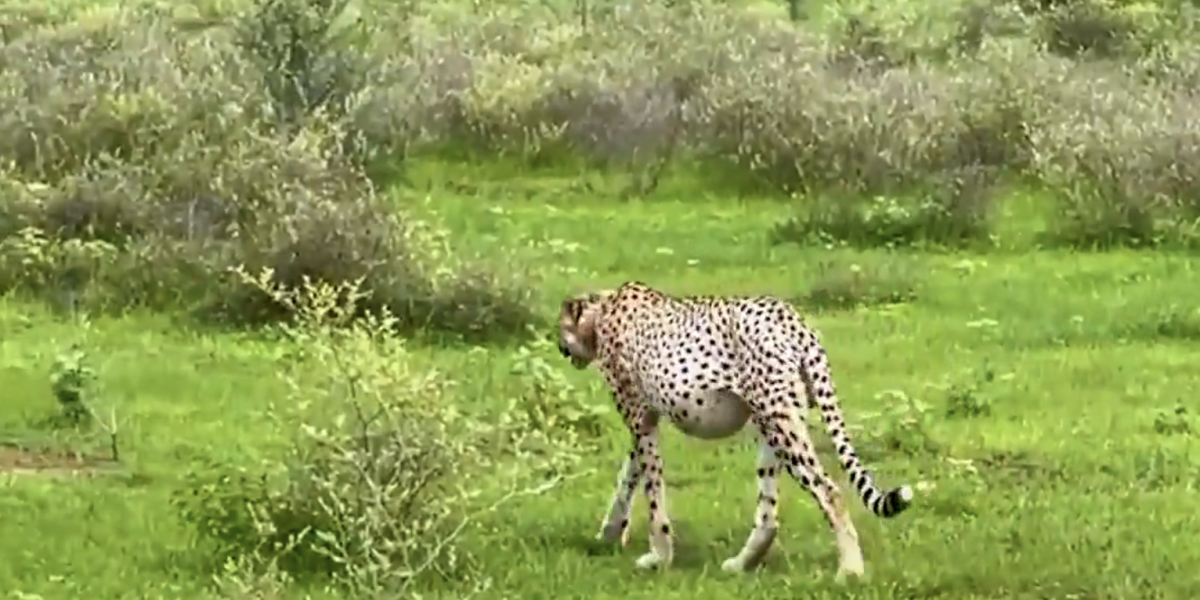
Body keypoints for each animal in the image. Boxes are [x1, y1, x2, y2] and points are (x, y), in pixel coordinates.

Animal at [556, 281, 913, 578]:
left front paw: (659, 556)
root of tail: (792, 319)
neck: (603, 308)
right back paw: (741, 564)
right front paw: (610, 531)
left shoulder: (640, 419)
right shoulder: (646, 421)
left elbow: (652, 493)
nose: (560, 346)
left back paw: (850, 570)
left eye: (561, 326)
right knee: (769, 515)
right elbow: (628, 476)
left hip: (780, 421)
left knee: (830, 491)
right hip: (773, 423)